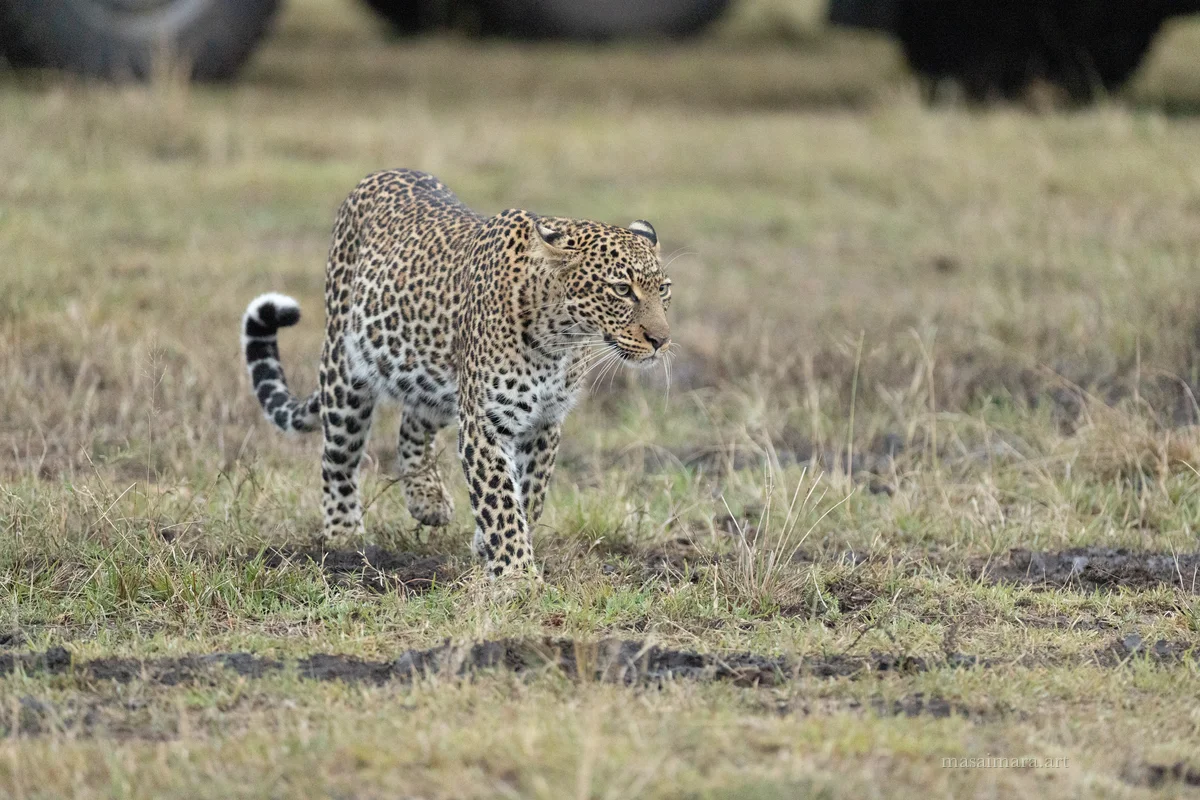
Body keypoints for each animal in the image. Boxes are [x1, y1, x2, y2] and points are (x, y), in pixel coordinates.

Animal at [241, 169, 671, 579]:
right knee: (339, 457)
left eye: (663, 288)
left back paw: (428, 500)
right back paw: (344, 536)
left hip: (435, 375)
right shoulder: (487, 421)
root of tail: (379, 174)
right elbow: (501, 500)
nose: (661, 340)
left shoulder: (545, 422)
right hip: (346, 372)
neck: (562, 338)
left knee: (413, 423)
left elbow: (530, 493)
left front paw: (490, 547)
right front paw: (517, 576)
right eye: (621, 289)